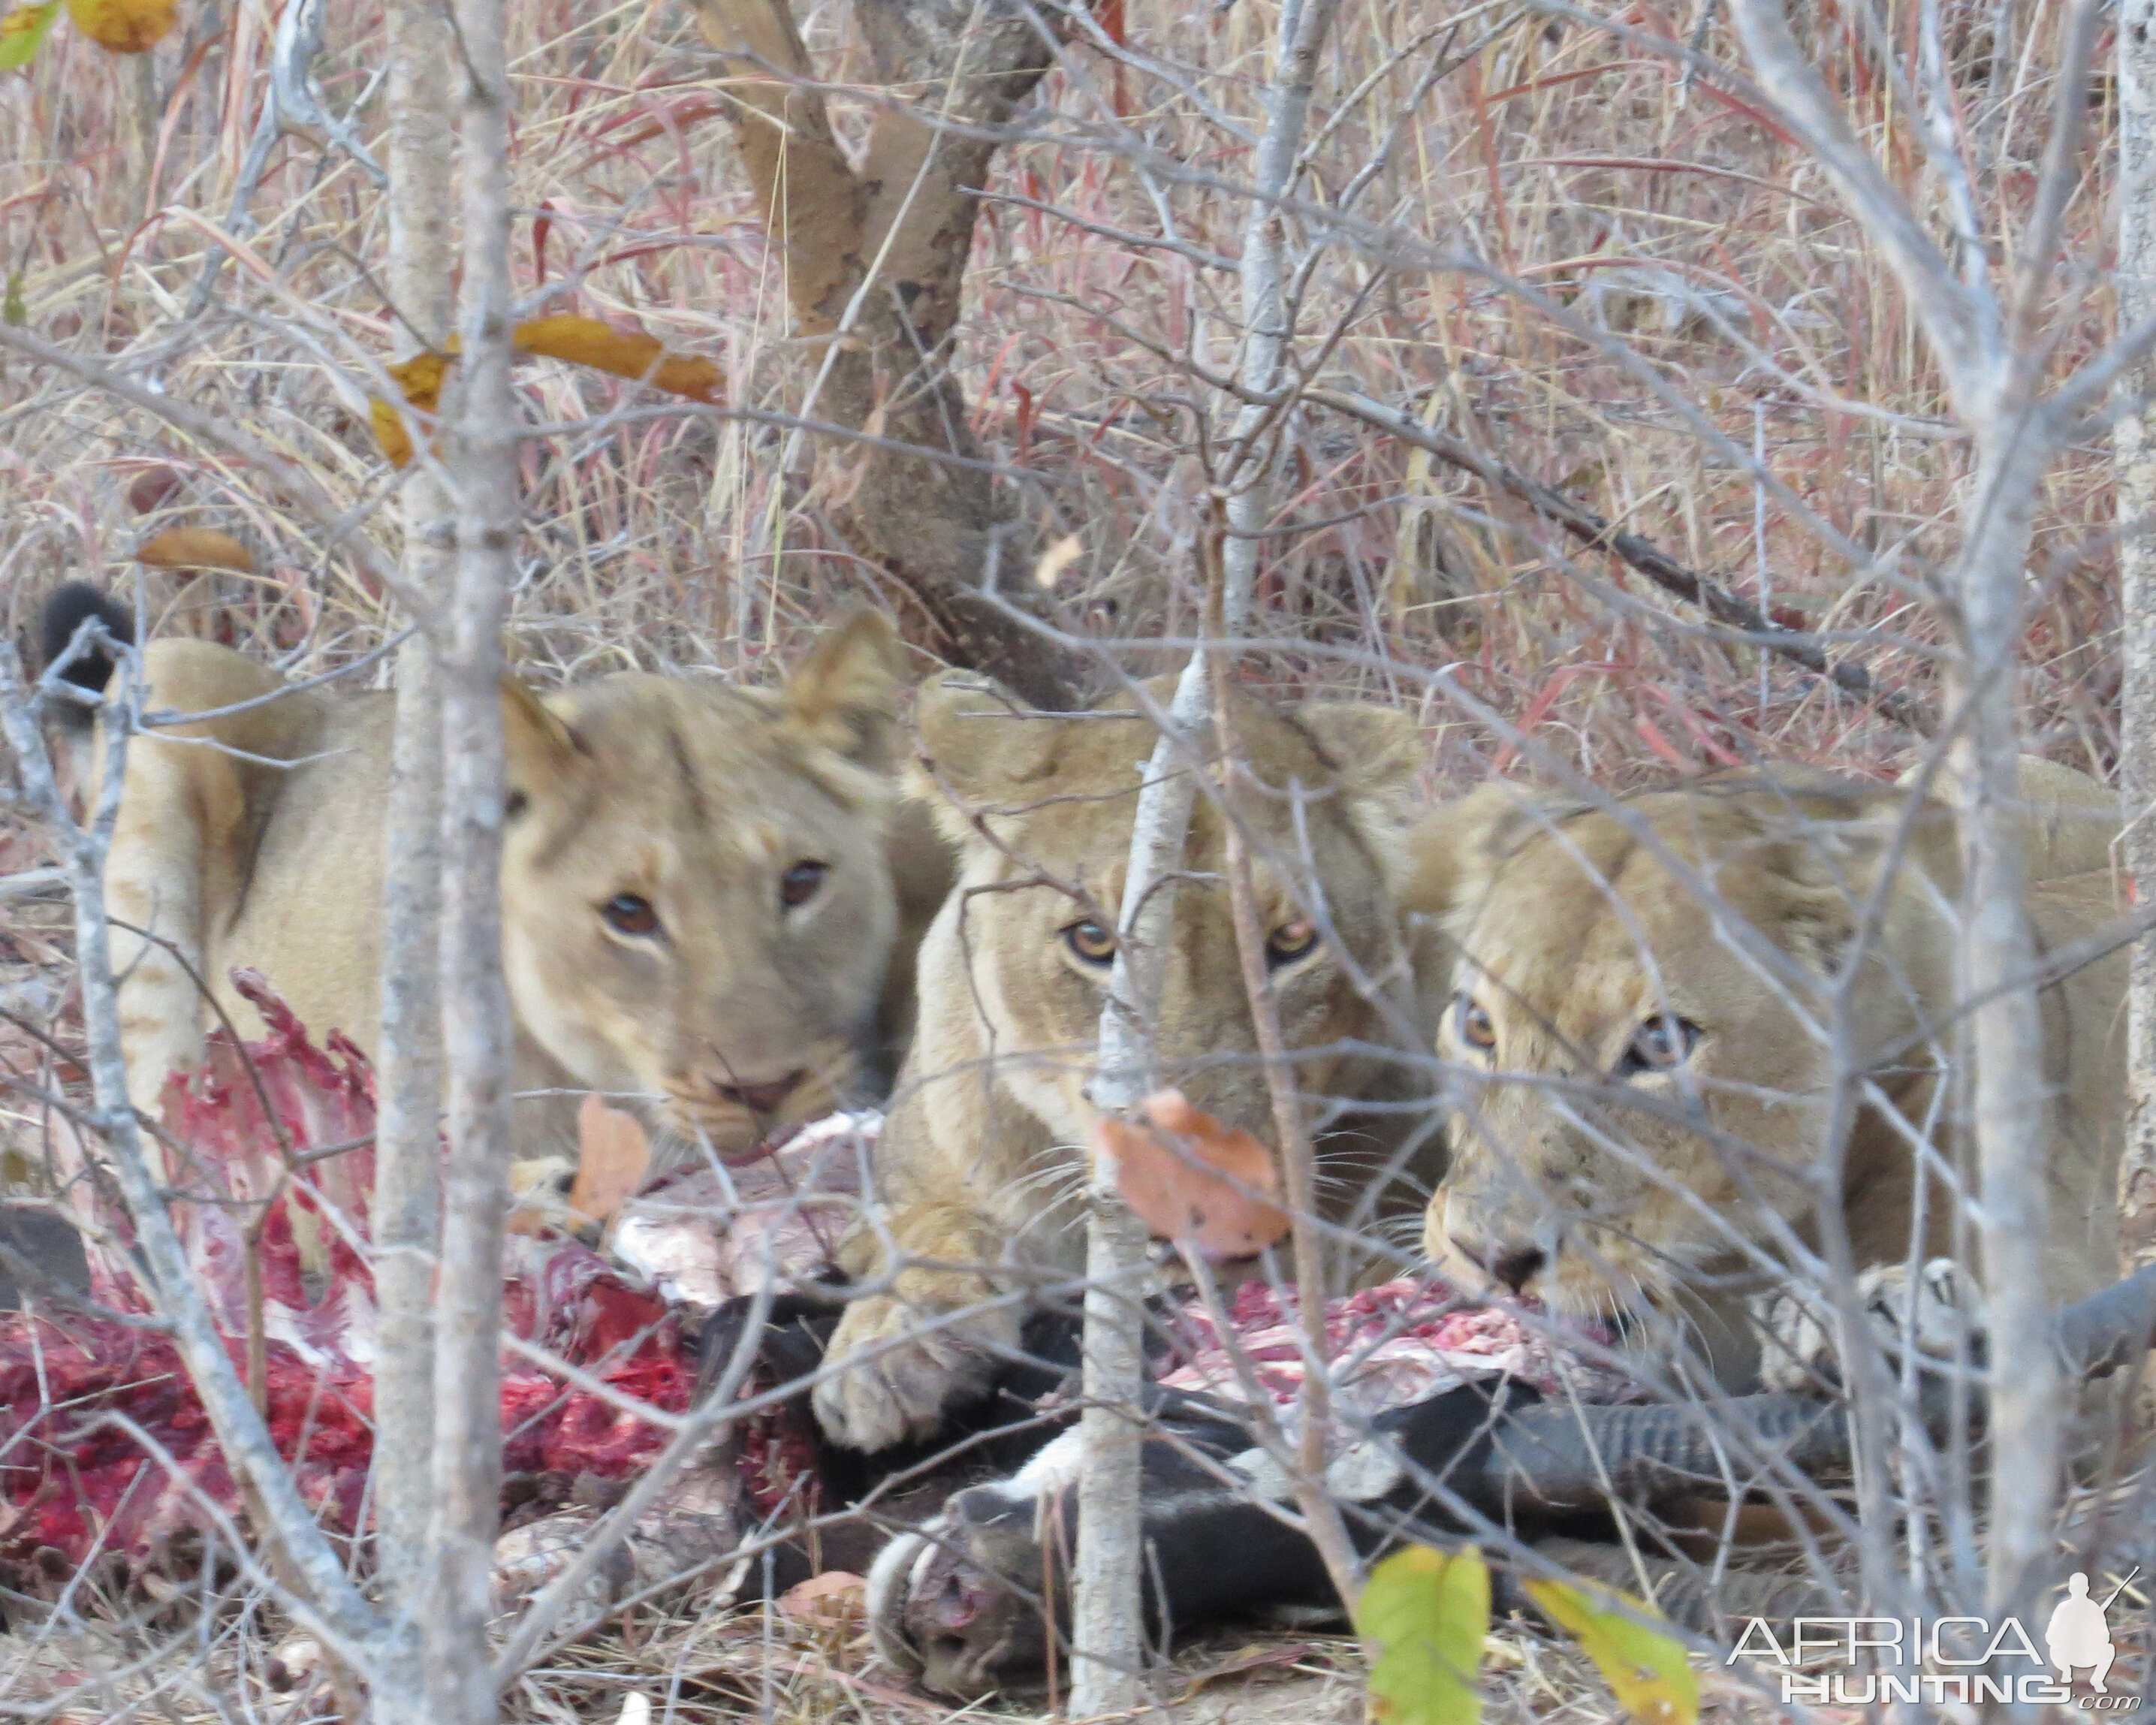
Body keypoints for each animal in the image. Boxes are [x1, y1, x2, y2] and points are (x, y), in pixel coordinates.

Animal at [810, 668, 1449, 1449]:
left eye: (1294, 940)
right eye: (1093, 939)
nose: (1206, 1206)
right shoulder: (886, 1202)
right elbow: (928, 1224)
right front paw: (888, 1345)